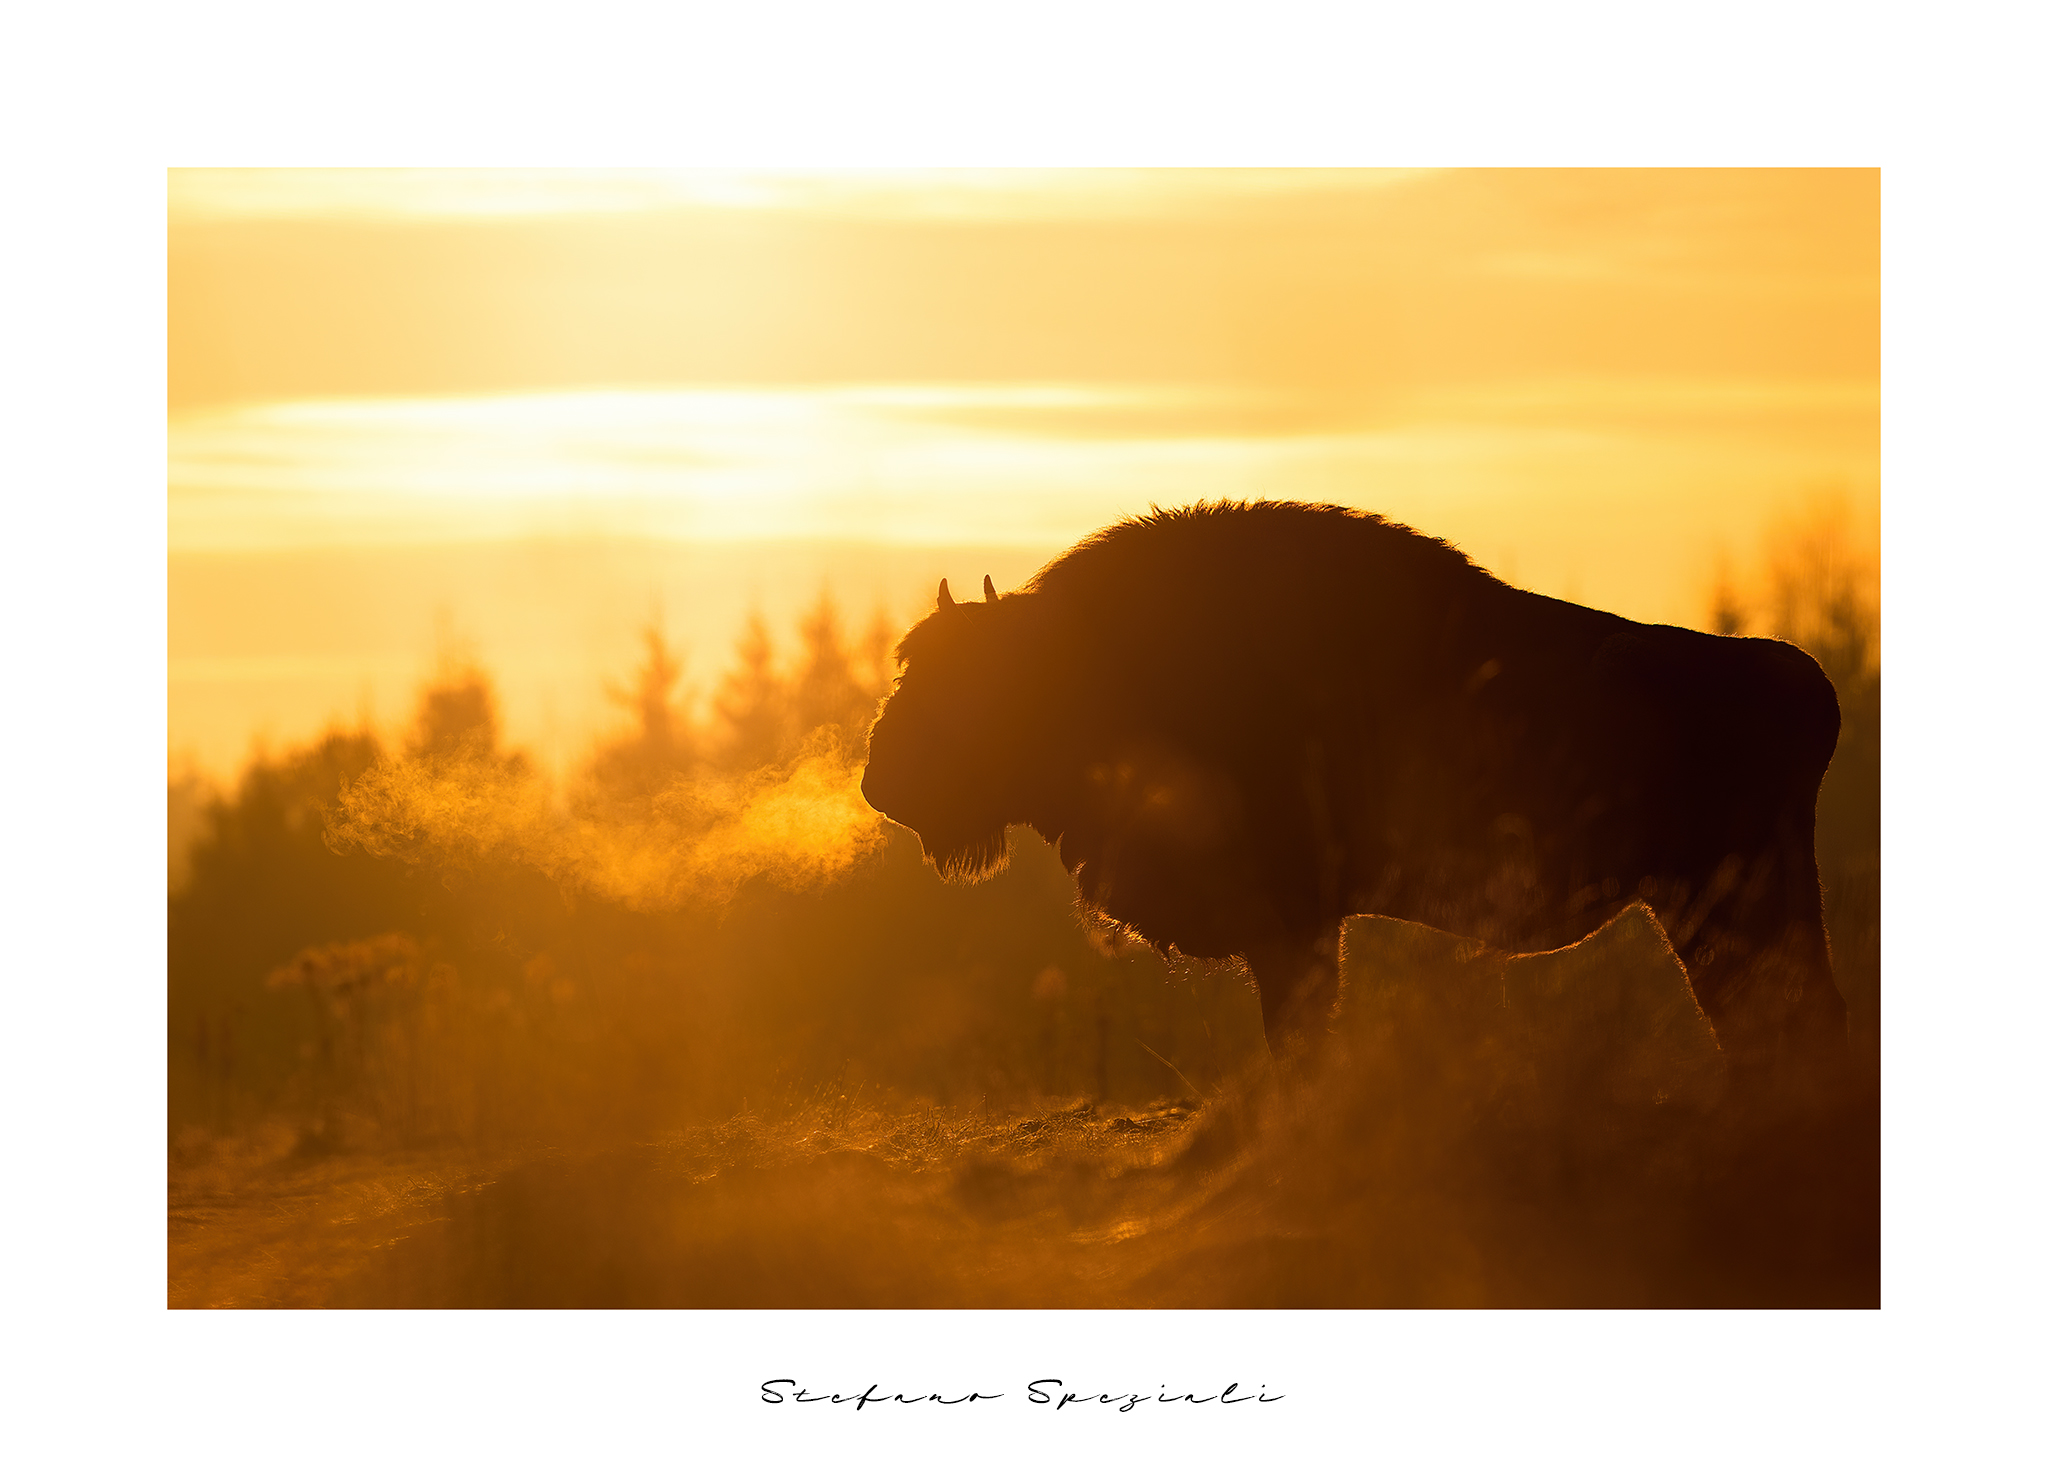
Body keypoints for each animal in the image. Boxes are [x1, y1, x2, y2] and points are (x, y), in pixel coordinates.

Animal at [860, 501, 1848, 1089]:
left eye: (972, 681)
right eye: (910, 664)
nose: (881, 780)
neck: (1095, 662)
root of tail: (1801, 677)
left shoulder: (1293, 928)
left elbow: (1300, 1036)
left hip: (1729, 901)